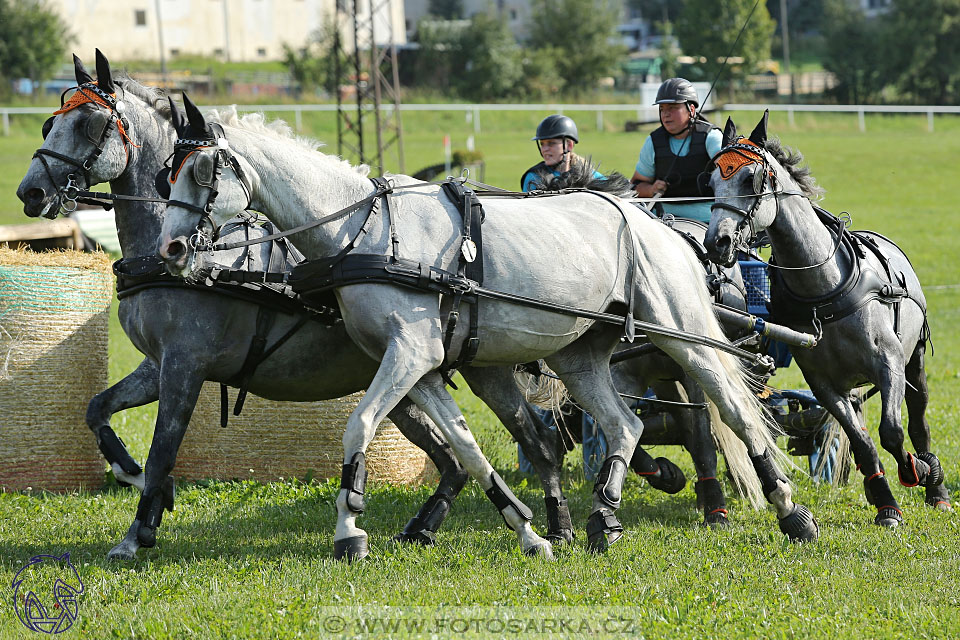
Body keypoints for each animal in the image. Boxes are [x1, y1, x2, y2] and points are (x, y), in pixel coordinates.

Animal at [15, 52, 572, 556]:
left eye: (88, 124)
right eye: (50, 121)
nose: (29, 192)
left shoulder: (184, 365)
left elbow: (162, 453)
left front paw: (137, 530)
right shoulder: (157, 366)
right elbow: (97, 409)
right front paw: (130, 475)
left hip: (478, 369)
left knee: (535, 445)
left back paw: (557, 527)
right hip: (415, 385)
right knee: (460, 459)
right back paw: (432, 527)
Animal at [158, 95, 816, 560]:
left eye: (204, 171)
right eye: (169, 173)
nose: (170, 249)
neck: (365, 231)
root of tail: (661, 224)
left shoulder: (408, 356)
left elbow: (359, 426)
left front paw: (350, 530)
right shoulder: (423, 368)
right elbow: (469, 450)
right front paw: (531, 533)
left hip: (681, 335)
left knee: (733, 408)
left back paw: (791, 512)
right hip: (579, 355)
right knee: (625, 424)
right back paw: (603, 519)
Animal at [704, 112, 952, 528]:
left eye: (751, 179)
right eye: (710, 183)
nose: (716, 243)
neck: (823, 290)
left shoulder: (888, 363)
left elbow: (892, 431)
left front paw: (915, 471)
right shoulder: (824, 385)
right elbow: (863, 442)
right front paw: (886, 503)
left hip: (914, 358)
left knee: (918, 420)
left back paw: (936, 487)